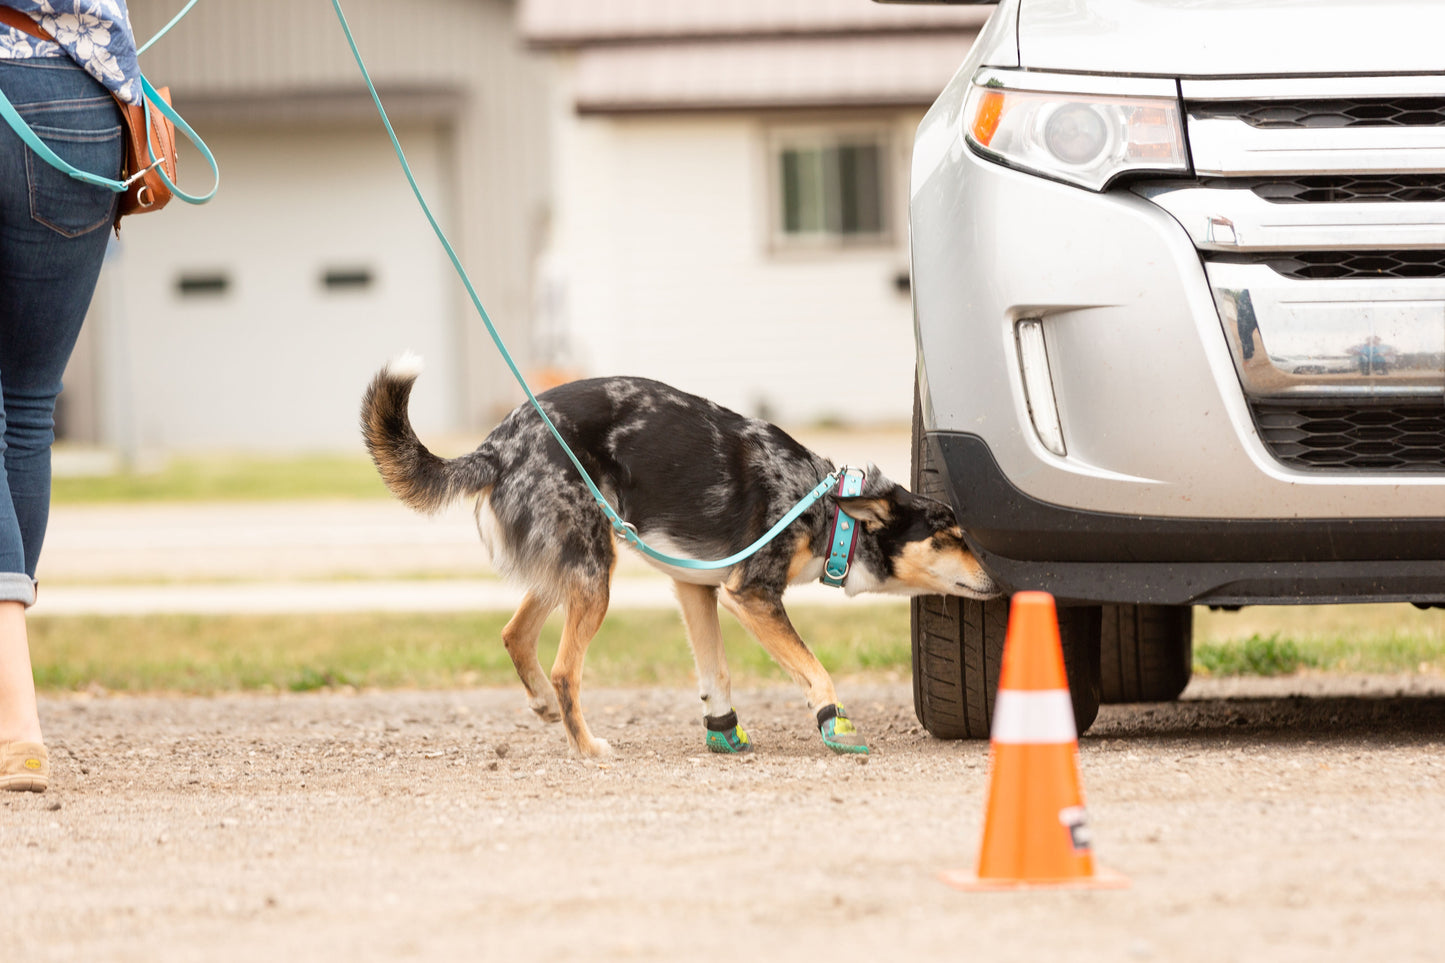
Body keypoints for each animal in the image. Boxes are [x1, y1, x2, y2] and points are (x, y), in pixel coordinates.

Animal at [359, 355, 994, 751]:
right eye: (949, 534)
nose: (997, 580)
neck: (827, 509)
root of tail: (498, 443)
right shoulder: (751, 596)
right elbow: (814, 669)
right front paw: (834, 727)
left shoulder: (697, 589)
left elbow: (716, 671)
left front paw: (726, 733)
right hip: (593, 572)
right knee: (565, 669)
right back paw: (588, 747)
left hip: (572, 565)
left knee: (515, 634)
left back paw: (544, 706)